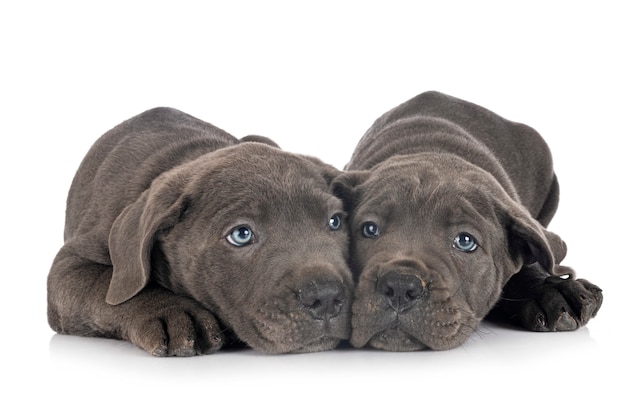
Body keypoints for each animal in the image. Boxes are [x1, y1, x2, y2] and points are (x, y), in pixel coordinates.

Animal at [46, 108, 354, 356]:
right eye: (241, 234)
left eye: (334, 222)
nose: (326, 296)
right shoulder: (70, 265)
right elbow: (108, 287)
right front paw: (172, 311)